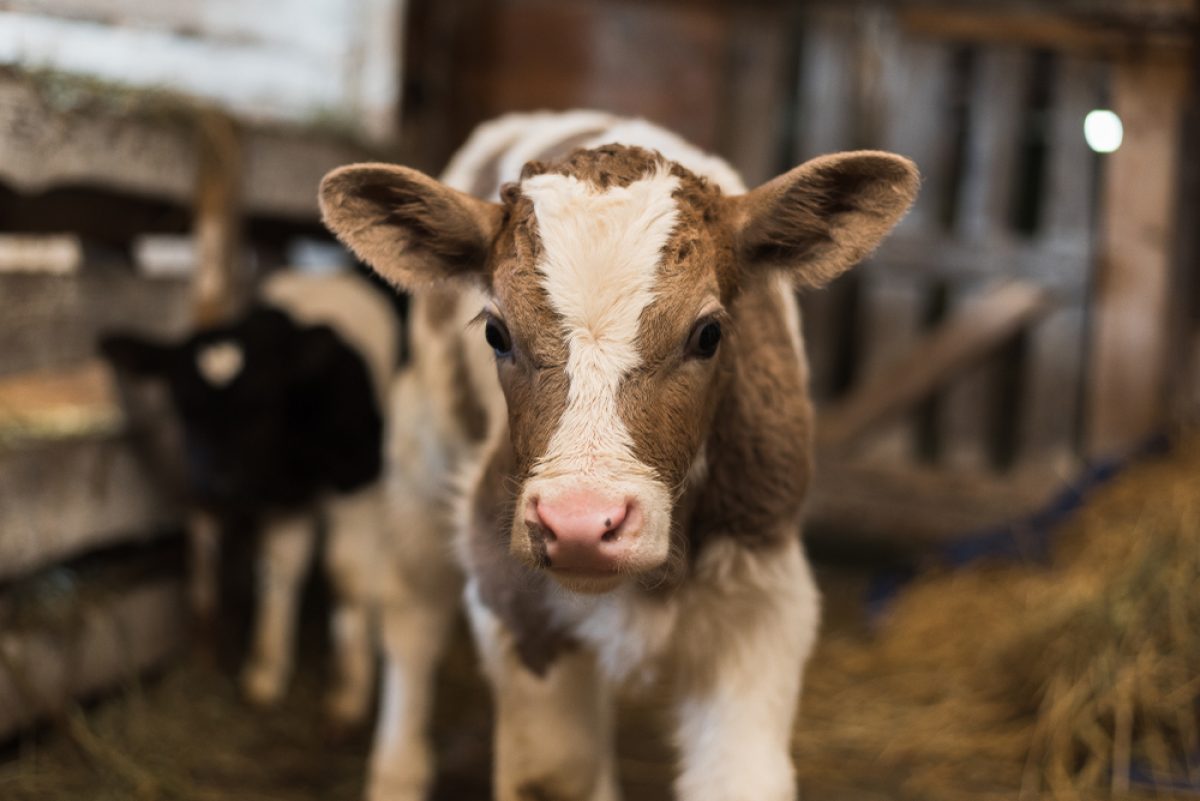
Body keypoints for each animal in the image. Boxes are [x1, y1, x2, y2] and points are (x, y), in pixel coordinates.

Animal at [100, 268, 396, 724]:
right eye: (186, 410)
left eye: (261, 406)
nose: (219, 482)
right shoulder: (284, 503)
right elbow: (277, 571)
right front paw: (265, 673)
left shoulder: (362, 483)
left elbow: (344, 575)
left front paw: (349, 691)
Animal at [321, 112, 916, 801]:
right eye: (496, 332)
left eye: (709, 334)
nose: (580, 523)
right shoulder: (514, 601)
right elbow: (554, 772)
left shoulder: (763, 605)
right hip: (422, 451)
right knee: (411, 615)